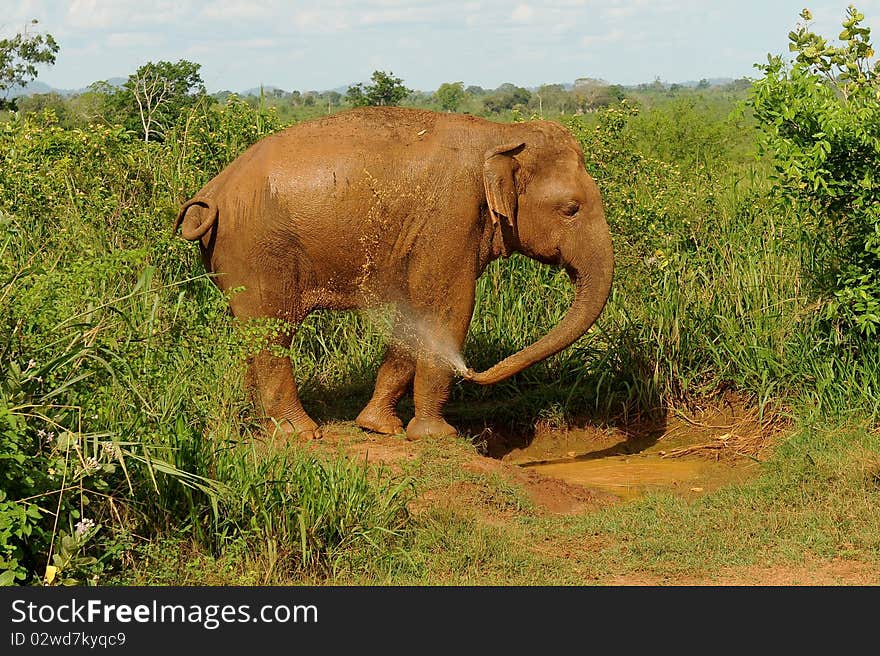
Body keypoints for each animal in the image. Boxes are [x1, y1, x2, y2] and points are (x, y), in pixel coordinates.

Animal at [172, 106, 612, 440]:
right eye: (571, 208)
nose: (473, 371)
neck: (502, 134)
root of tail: (211, 194)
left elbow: (413, 313)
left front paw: (379, 427)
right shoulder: (451, 217)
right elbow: (447, 307)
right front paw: (437, 436)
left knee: (249, 333)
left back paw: (260, 426)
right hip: (259, 251)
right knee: (271, 333)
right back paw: (299, 433)